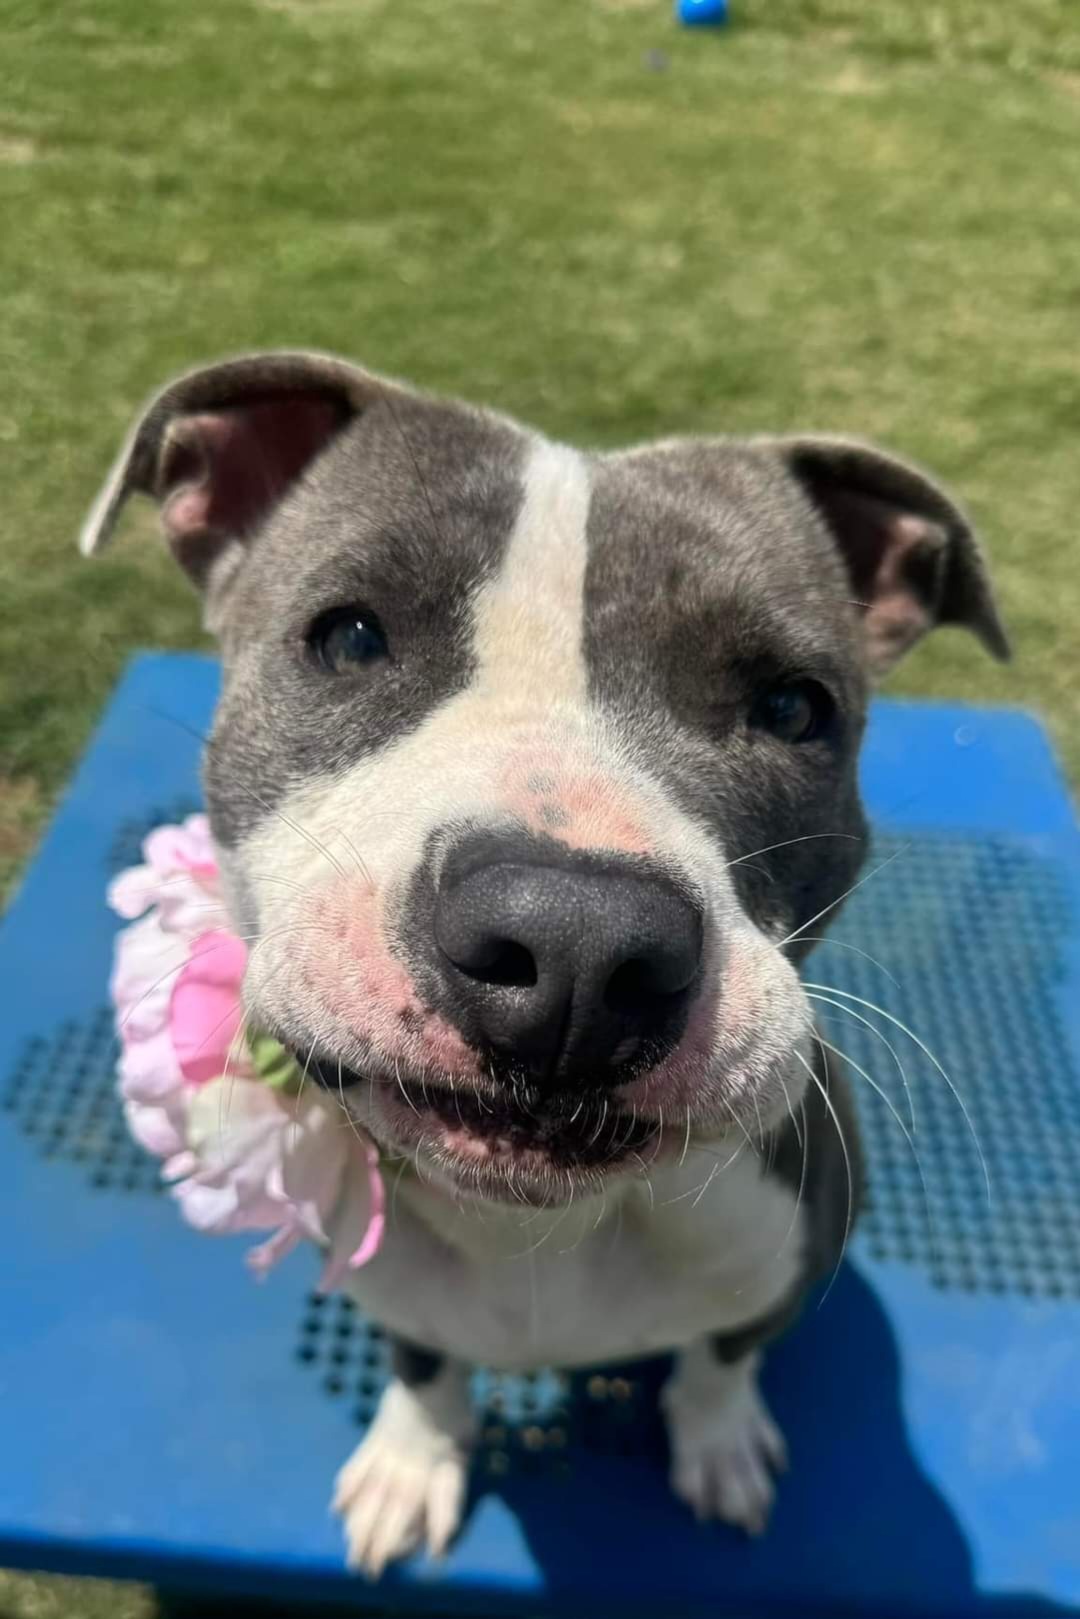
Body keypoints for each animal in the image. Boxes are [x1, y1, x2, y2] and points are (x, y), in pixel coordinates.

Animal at [80, 351, 1010, 1567]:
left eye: (793, 706)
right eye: (349, 637)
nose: (578, 941)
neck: (539, 1228)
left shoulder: (777, 1264)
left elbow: (722, 1358)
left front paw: (719, 1438)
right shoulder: (397, 1294)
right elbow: (424, 1364)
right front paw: (413, 1455)